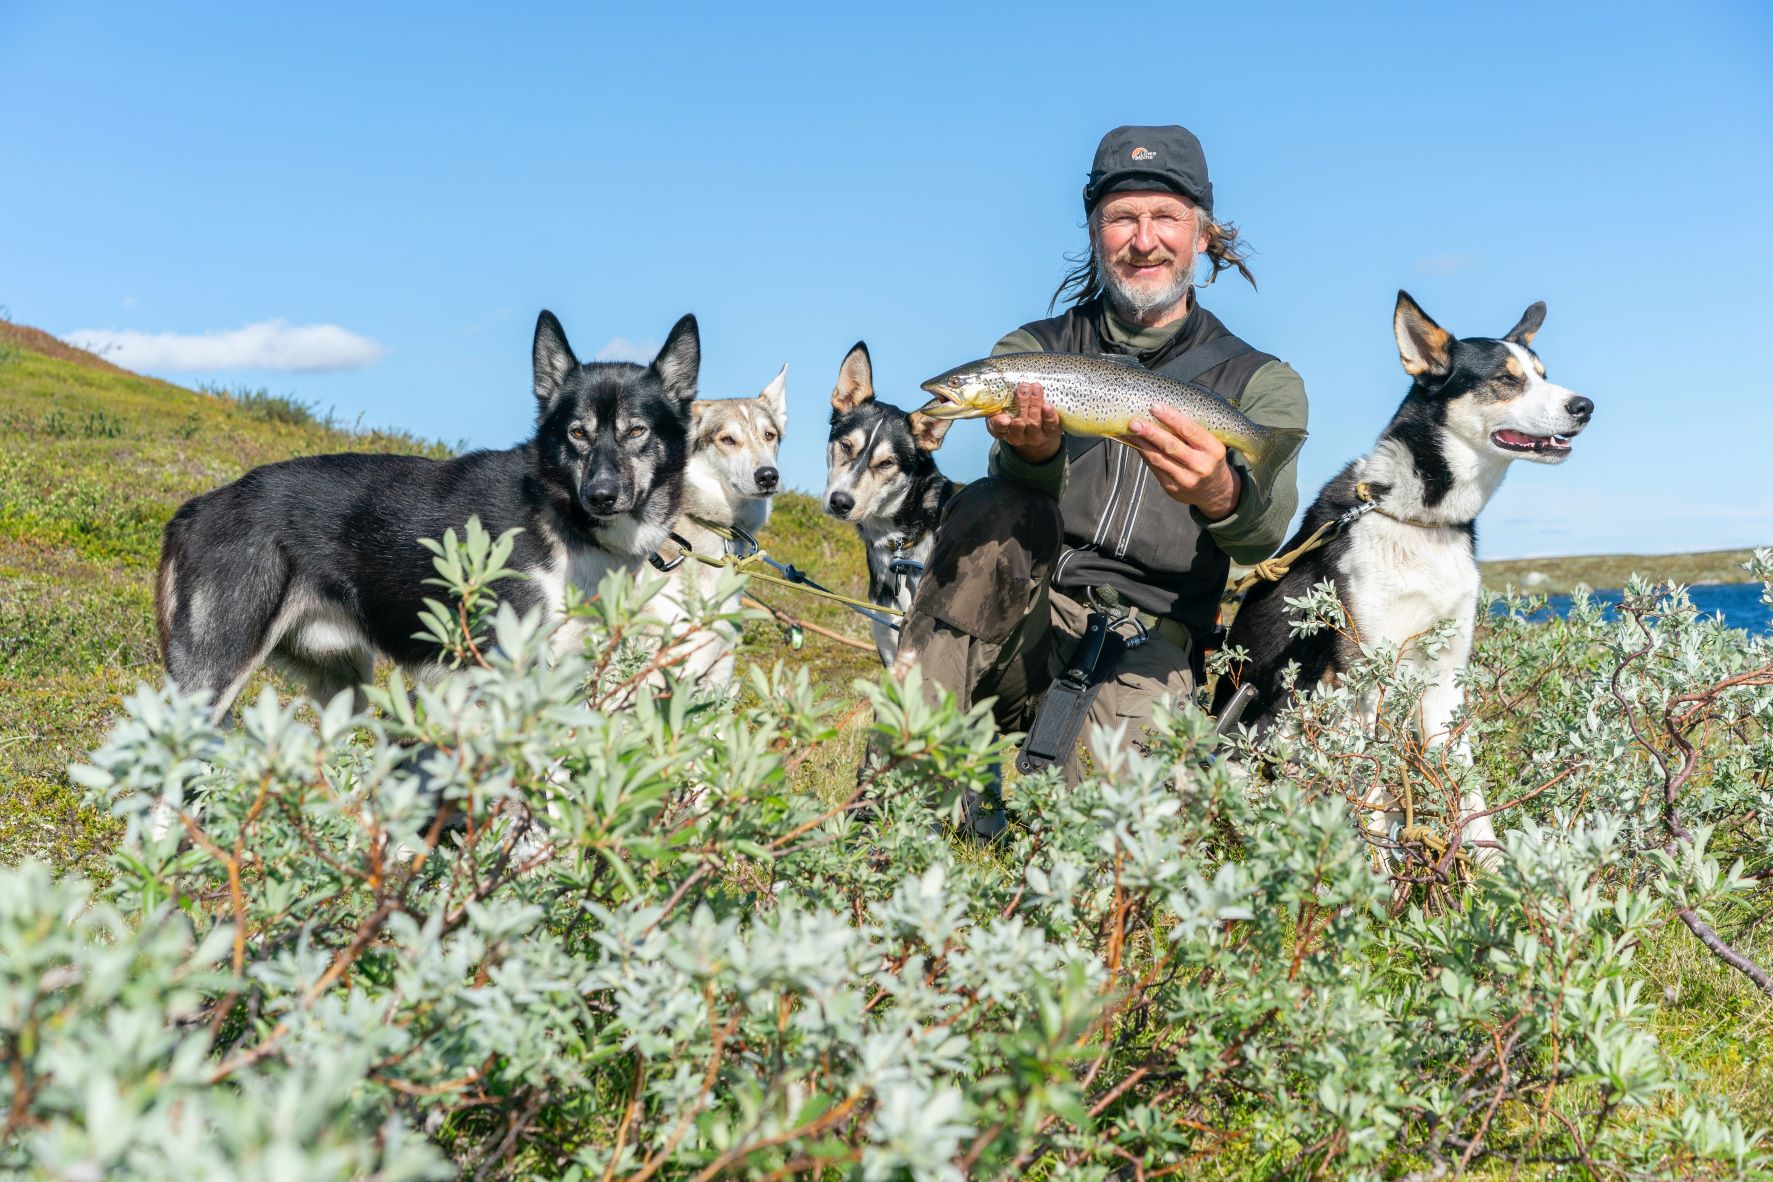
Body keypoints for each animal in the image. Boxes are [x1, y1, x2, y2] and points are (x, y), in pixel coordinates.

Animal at [154, 310, 698, 715]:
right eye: (577, 433)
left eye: (636, 431)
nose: (600, 495)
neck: (562, 522)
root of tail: (196, 507)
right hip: (212, 678)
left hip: (343, 683)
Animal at [1219, 295, 1595, 868]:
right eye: (1507, 380)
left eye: (1543, 375)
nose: (1585, 406)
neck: (1419, 518)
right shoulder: (1361, 676)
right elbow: (1369, 787)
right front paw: (1372, 875)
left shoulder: (1444, 677)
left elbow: (1466, 786)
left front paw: (1489, 869)